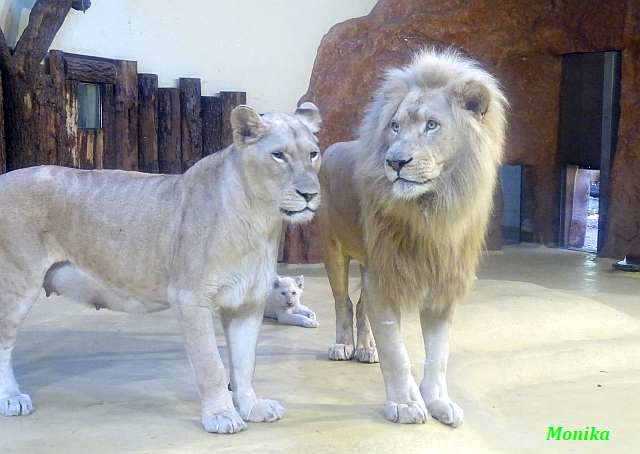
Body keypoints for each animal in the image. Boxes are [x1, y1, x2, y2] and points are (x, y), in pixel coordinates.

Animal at [0, 101, 322, 434]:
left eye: (313, 154)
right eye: (278, 155)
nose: (310, 194)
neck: (260, 220)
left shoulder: (247, 302)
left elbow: (245, 363)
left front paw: (252, 407)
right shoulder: (190, 298)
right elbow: (211, 365)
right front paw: (221, 415)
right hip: (17, 282)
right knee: (3, 344)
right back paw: (12, 399)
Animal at [318, 49, 504, 426]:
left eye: (432, 125)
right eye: (394, 126)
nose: (395, 161)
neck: (431, 213)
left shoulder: (442, 284)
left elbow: (438, 354)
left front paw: (438, 401)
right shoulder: (384, 280)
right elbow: (397, 352)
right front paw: (405, 404)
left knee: (361, 306)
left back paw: (365, 348)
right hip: (335, 252)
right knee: (343, 302)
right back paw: (343, 346)